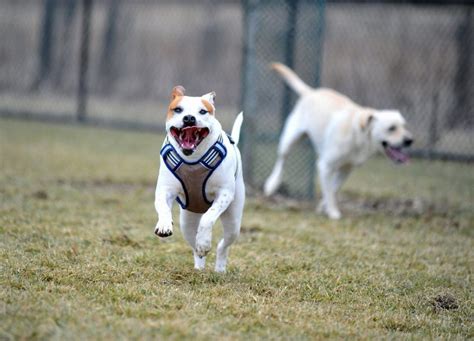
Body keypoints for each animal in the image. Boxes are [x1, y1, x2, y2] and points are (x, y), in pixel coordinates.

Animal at [155, 85, 246, 270]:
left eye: (203, 111)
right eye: (178, 109)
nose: (189, 118)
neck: (193, 159)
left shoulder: (224, 194)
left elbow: (208, 217)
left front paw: (204, 242)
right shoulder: (164, 190)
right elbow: (163, 206)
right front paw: (164, 224)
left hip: (233, 221)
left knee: (223, 245)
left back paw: (219, 268)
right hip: (187, 221)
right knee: (193, 244)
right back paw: (199, 267)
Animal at [264, 62, 412, 219]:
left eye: (404, 126)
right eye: (392, 128)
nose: (410, 140)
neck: (358, 135)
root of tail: (311, 92)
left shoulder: (346, 169)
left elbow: (333, 189)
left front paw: (323, 207)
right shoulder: (325, 166)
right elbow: (329, 191)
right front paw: (332, 212)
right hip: (290, 139)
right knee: (281, 159)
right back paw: (272, 183)